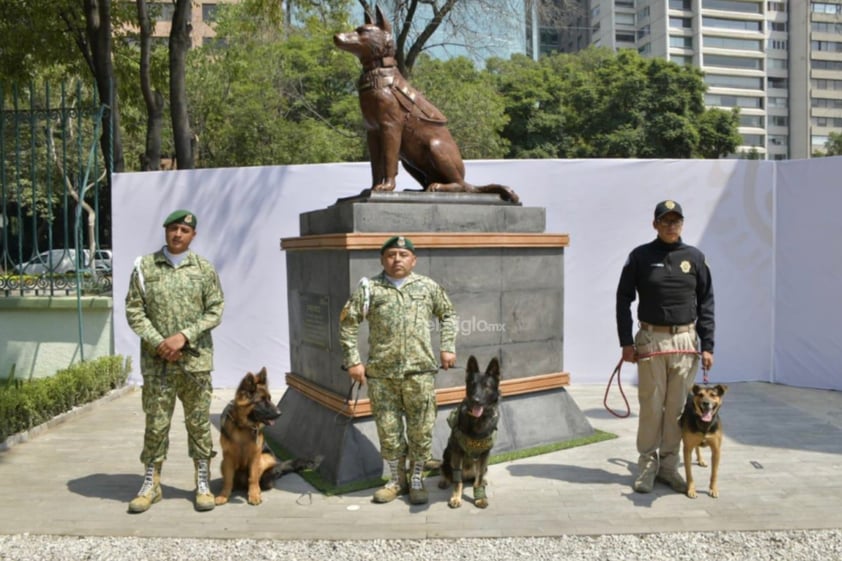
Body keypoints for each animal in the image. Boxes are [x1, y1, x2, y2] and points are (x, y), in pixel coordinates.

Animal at [334, 6, 520, 203]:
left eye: (362, 31)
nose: (336, 36)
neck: (377, 74)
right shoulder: (372, 131)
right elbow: (376, 166)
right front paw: (372, 188)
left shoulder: (390, 127)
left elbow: (388, 161)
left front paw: (387, 187)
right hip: (408, 160)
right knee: (430, 182)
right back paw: (417, 190)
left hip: (435, 147)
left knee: (460, 185)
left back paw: (440, 187)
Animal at [436, 354, 496, 508]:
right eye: (472, 384)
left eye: (486, 387)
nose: (476, 400)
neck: (477, 421)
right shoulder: (457, 452)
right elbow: (458, 482)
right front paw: (456, 498)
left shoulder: (485, 453)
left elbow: (478, 479)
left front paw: (480, 497)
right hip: (447, 454)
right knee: (446, 471)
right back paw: (444, 480)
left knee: (478, 475)